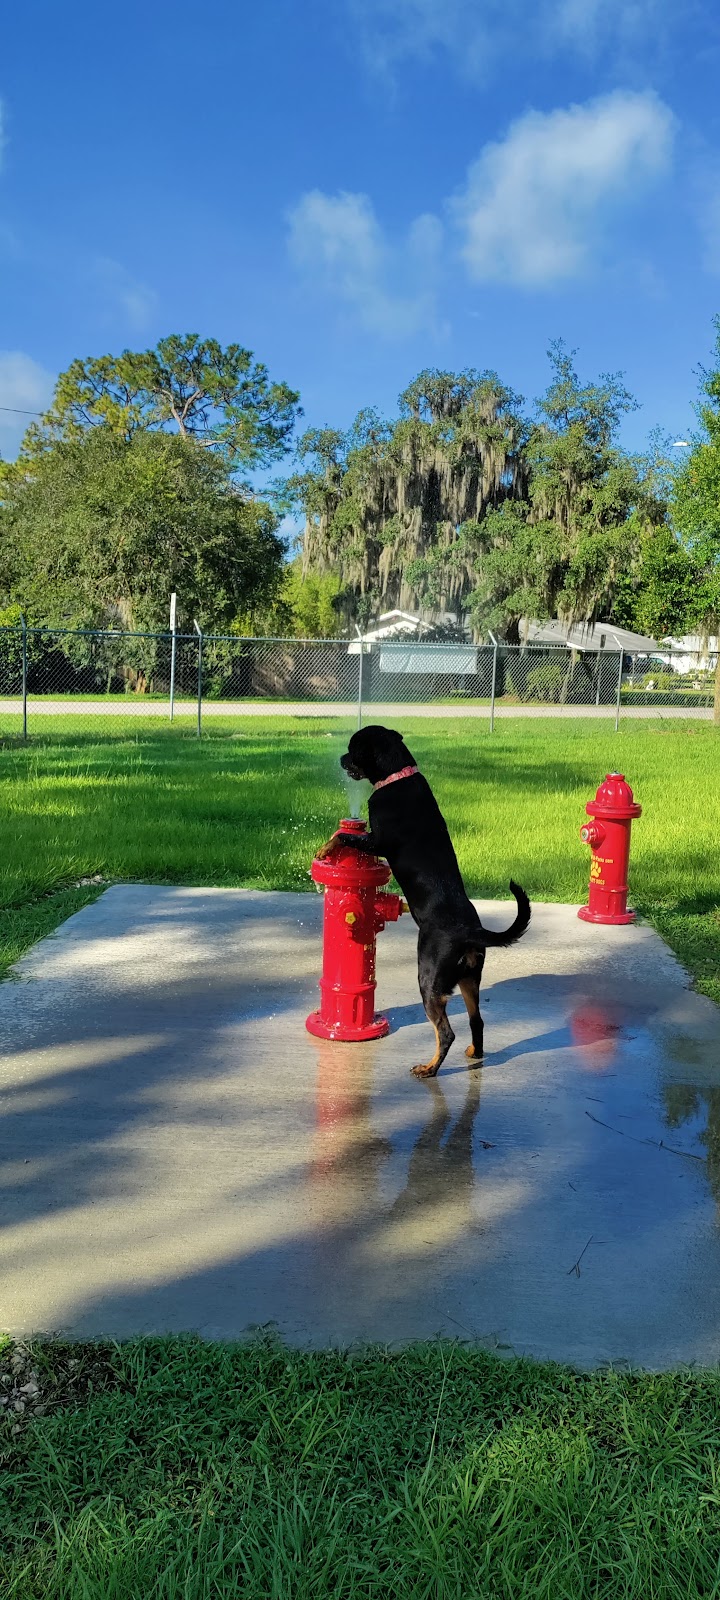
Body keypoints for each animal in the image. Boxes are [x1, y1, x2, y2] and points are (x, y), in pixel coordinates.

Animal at [331, 729, 528, 1081]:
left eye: (353, 749)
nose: (341, 758)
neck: (398, 775)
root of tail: (471, 931)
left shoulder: (377, 840)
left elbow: (343, 836)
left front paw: (324, 849)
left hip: (430, 980)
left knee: (446, 1032)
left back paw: (429, 1068)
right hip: (469, 979)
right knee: (477, 1020)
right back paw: (474, 1053)